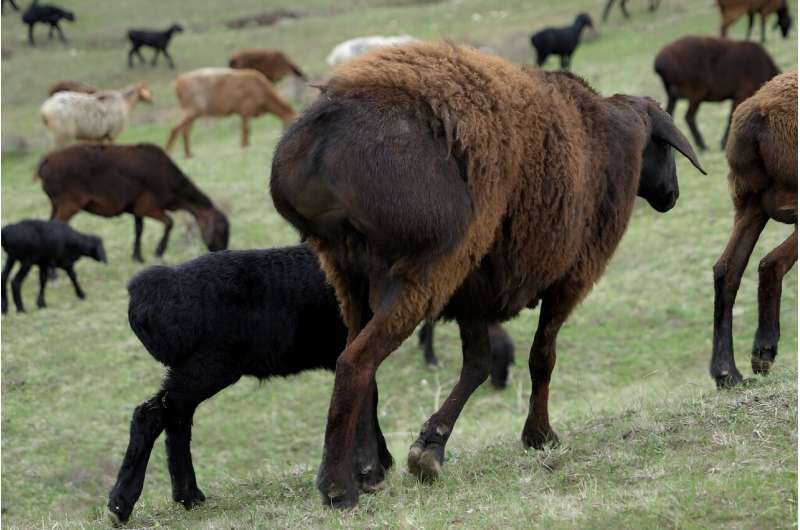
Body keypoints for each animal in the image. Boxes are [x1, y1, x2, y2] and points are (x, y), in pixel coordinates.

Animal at [36, 143, 229, 262]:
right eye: (221, 230)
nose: (221, 253)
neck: (175, 192)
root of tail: (45, 163)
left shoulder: (137, 206)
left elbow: (138, 229)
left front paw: (137, 257)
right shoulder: (149, 206)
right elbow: (169, 222)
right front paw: (159, 251)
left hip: (55, 204)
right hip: (68, 203)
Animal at [107, 245, 390, 525]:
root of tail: (149, 289)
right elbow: (365, 396)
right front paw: (375, 468)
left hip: (196, 369)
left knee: (176, 419)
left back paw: (188, 496)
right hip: (208, 366)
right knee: (151, 415)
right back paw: (121, 504)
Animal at [165, 67, 296, 158]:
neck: (265, 95)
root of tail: (178, 83)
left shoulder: (243, 112)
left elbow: (245, 129)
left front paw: (245, 144)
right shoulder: (246, 109)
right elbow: (246, 129)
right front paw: (245, 145)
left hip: (192, 112)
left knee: (185, 131)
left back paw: (188, 153)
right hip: (191, 109)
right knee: (175, 129)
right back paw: (169, 151)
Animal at [270, 42, 706, 507]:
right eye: (665, 150)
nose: (672, 195)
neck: (609, 136)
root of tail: (324, 130)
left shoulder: (476, 290)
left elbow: (479, 363)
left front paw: (432, 446)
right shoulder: (571, 277)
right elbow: (541, 357)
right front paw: (537, 435)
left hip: (348, 271)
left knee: (360, 358)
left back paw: (367, 469)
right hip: (426, 266)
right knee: (356, 361)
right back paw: (338, 487)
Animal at [710, 71, 797, 388]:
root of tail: (758, 112)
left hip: (749, 200)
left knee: (727, 270)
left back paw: (727, 373)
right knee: (772, 261)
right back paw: (763, 352)